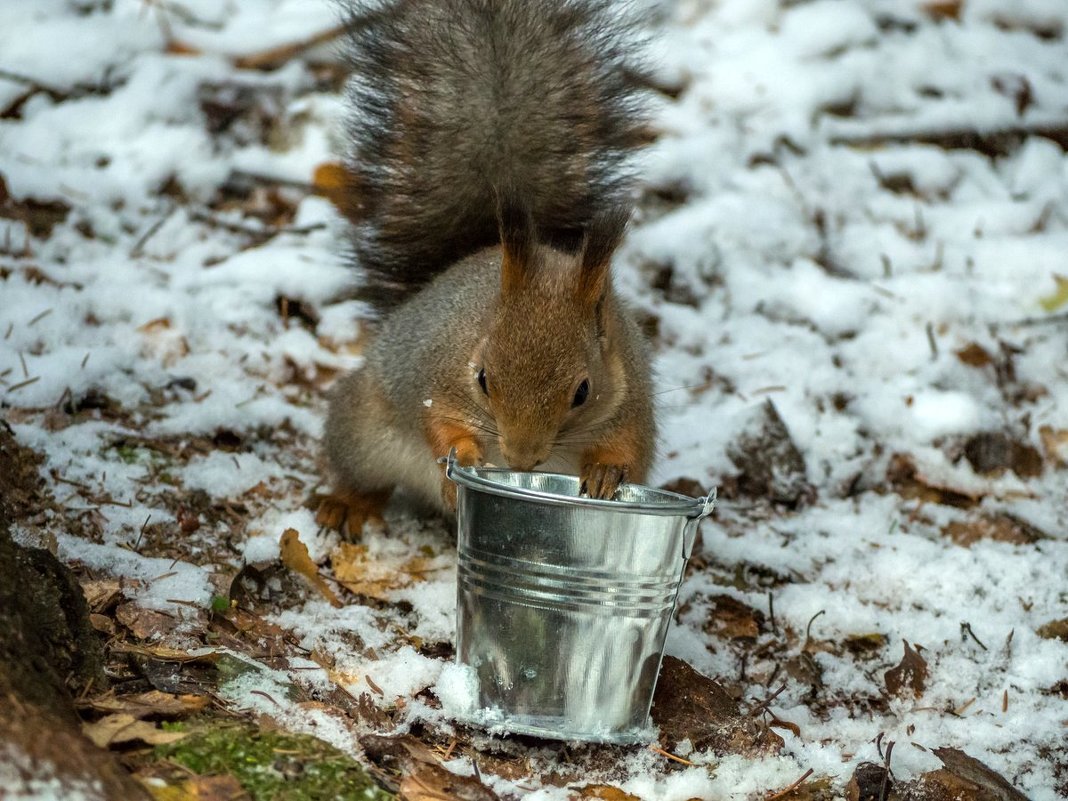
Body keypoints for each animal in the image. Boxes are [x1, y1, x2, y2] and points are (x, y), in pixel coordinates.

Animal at [316, 0, 653, 534]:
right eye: (482, 378)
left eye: (583, 391)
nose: (519, 459)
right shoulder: (435, 370)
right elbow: (439, 421)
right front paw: (463, 459)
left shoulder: (631, 398)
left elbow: (629, 448)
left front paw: (605, 472)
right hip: (361, 430)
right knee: (366, 476)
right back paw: (349, 503)